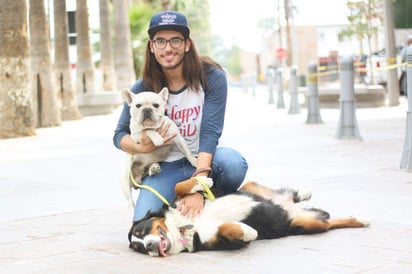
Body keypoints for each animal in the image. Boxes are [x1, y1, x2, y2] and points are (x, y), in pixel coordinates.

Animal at [127, 179, 368, 256]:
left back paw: (303, 193)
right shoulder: (221, 242)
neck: (183, 227)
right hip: (308, 224)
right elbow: (228, 228)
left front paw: (204, 179)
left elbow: (180, 186)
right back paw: (360, 219)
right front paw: (248, 231)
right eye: (139, 247)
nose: (148, 246)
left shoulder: (194, 199)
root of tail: (289, 208)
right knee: (330, 222)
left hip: (249, 187)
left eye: (142, 230)